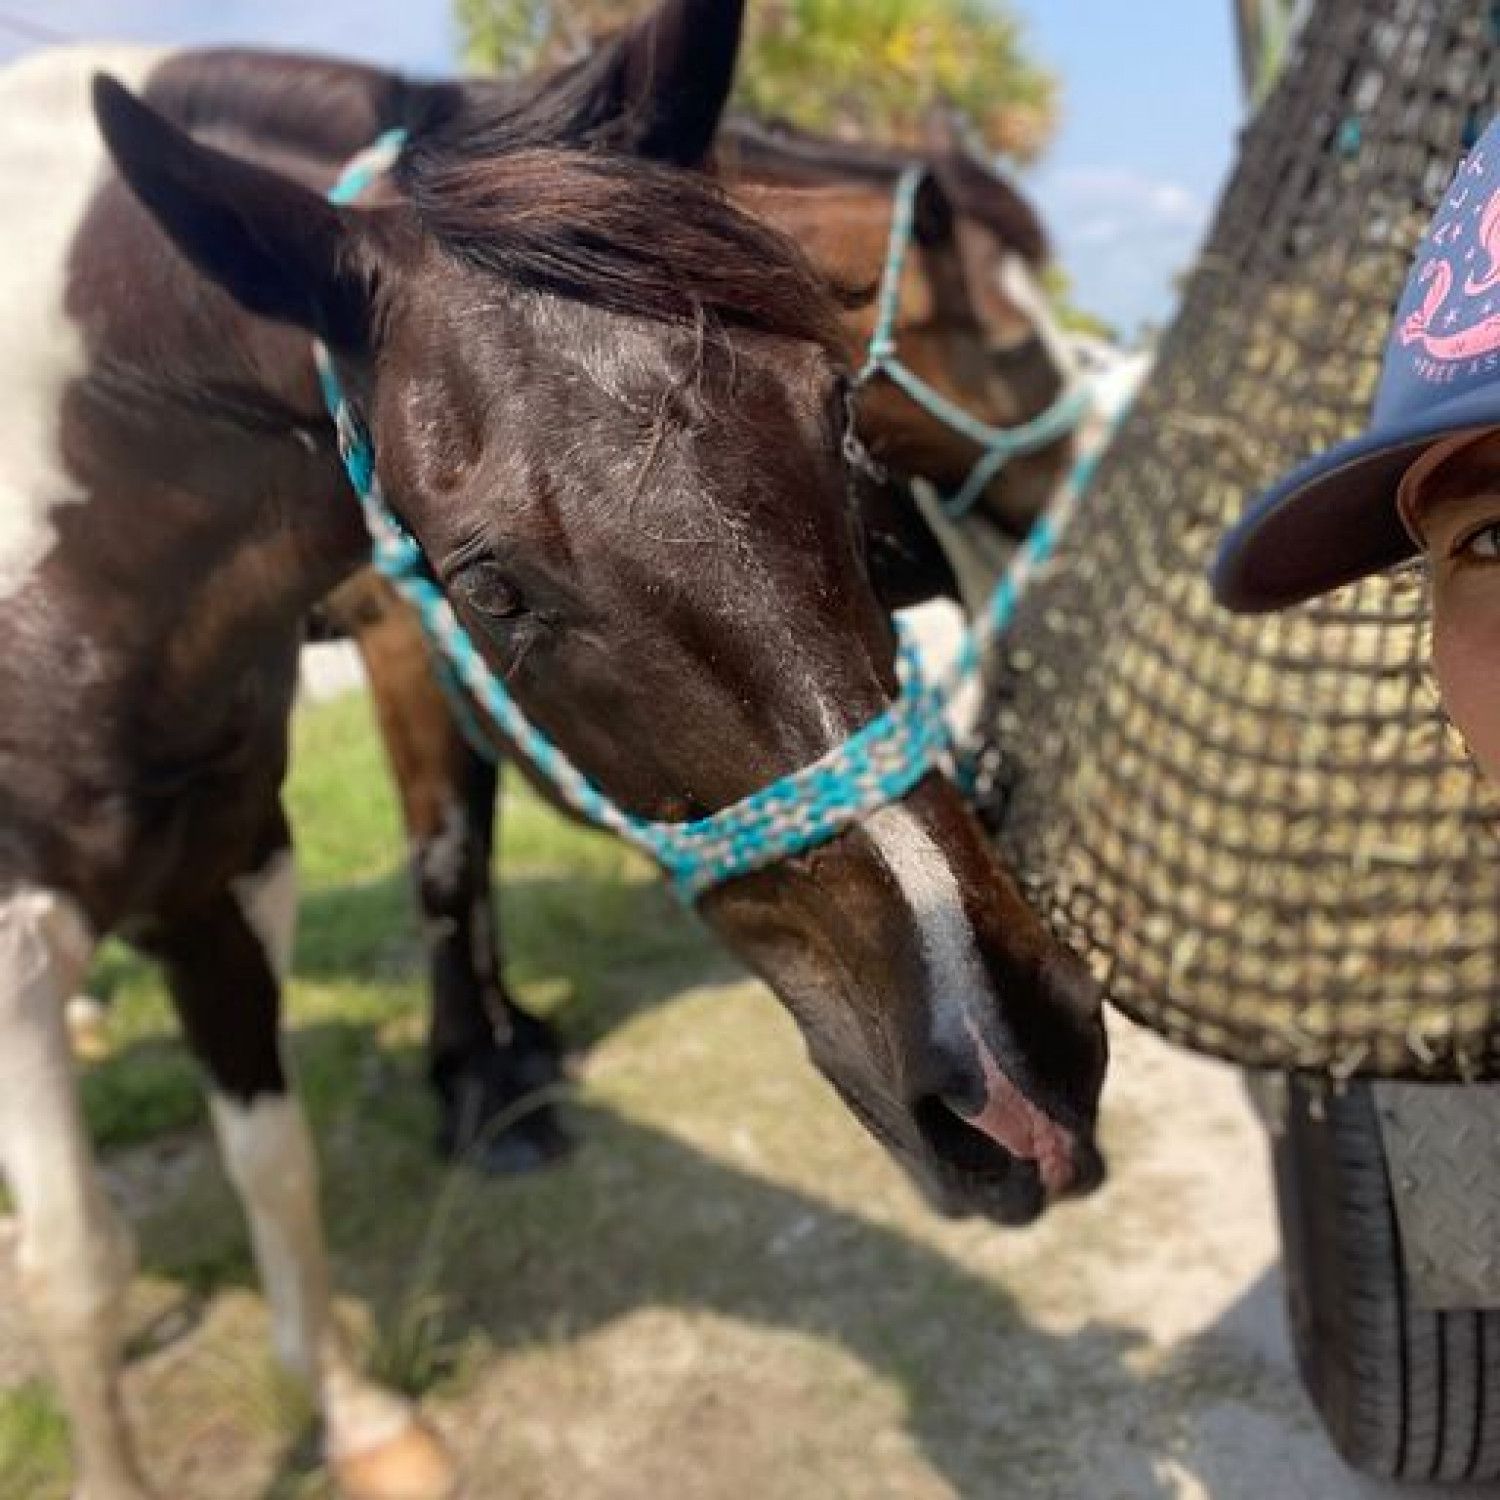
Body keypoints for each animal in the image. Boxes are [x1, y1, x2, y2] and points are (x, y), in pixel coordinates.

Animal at [317, 90, 1088, 1173]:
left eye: (838, 420)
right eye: (1017, 345)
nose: (1085, 461)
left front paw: (514, 1042)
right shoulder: (400, 636)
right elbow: (448, 861)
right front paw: (476, 1084)